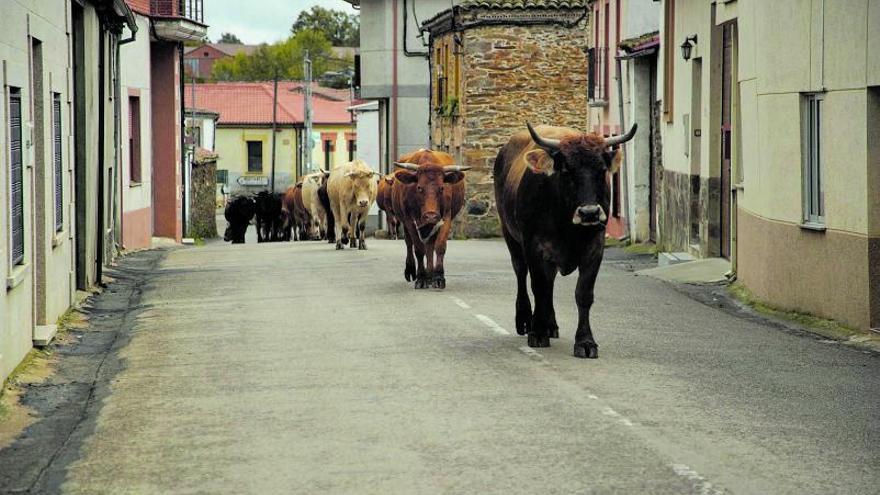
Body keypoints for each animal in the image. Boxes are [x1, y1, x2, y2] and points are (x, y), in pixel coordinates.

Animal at [394, 149, 470, 288]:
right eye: (419, 187)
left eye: (442, 188)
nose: (431, 216)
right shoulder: (409, 221)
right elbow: (418, 249)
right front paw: (421, 278)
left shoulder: (446, 218)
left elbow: (439, 246)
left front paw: (439, 277)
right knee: (409, 243)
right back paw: (414, 271)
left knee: (430, 245)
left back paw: (430, 276)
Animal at [492, 122, 636, 358]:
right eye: (567, 170)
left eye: (601, 170)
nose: (589, 213)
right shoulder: (534, 247)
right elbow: (538, 288)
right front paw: (538, 332)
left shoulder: (594, 248)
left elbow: (583, 294)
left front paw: (585, 342)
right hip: (510, 236)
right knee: (521, 274)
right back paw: (526, 320)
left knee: (549, 283)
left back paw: (551, 324)